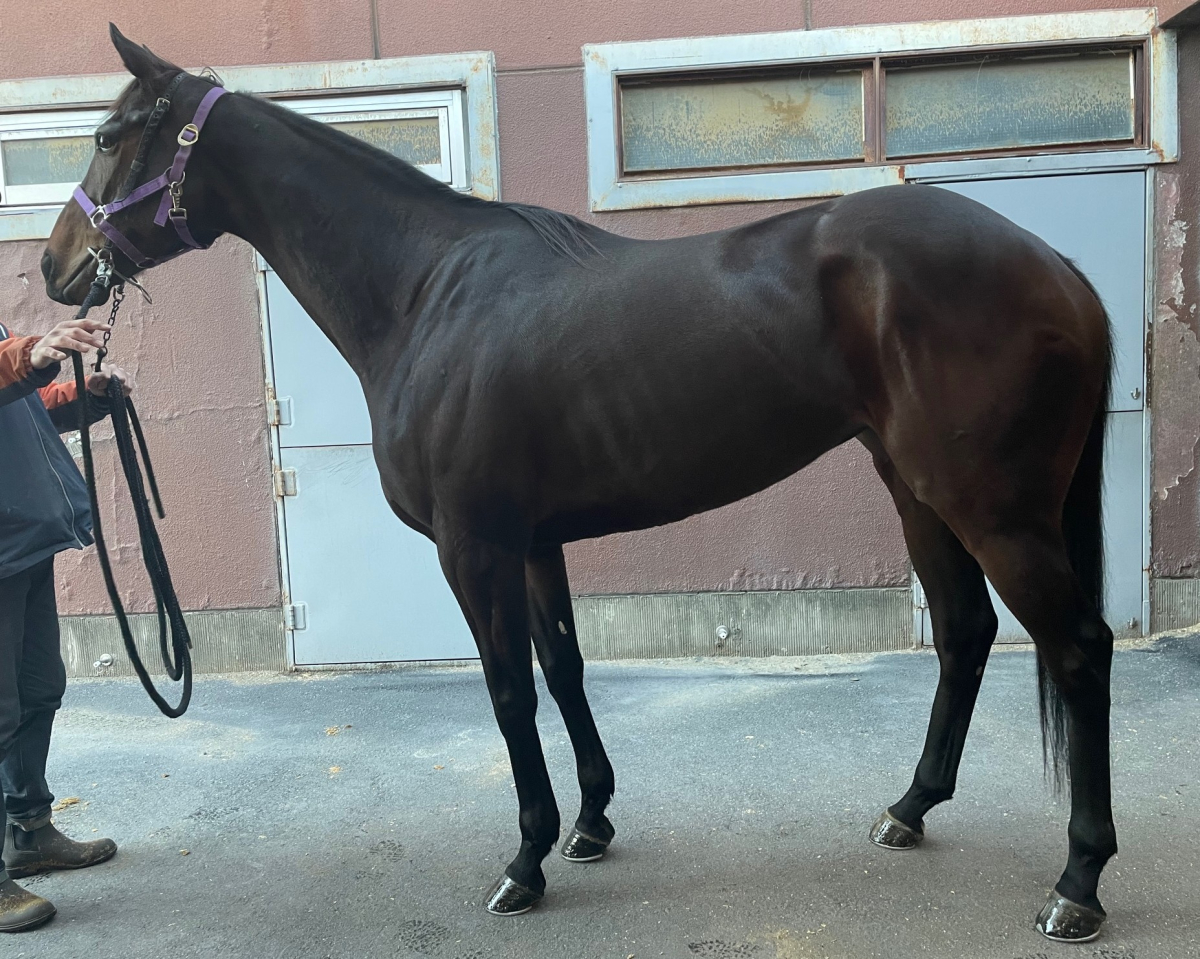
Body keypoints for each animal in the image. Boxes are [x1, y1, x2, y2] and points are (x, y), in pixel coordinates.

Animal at [43, 25, 1118, 943]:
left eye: (107, 136)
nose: (55, 268)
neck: (427, 294)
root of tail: (1057, 267)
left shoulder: (473, 546)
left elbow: (509, 690)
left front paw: (524, 861)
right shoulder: (532, 541)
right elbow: (562, 667)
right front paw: (591, 821)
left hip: (993, 507)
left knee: (1076, 647)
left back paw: (1077, 883)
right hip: (917, 491)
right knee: (964, 632)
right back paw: (908, 807)